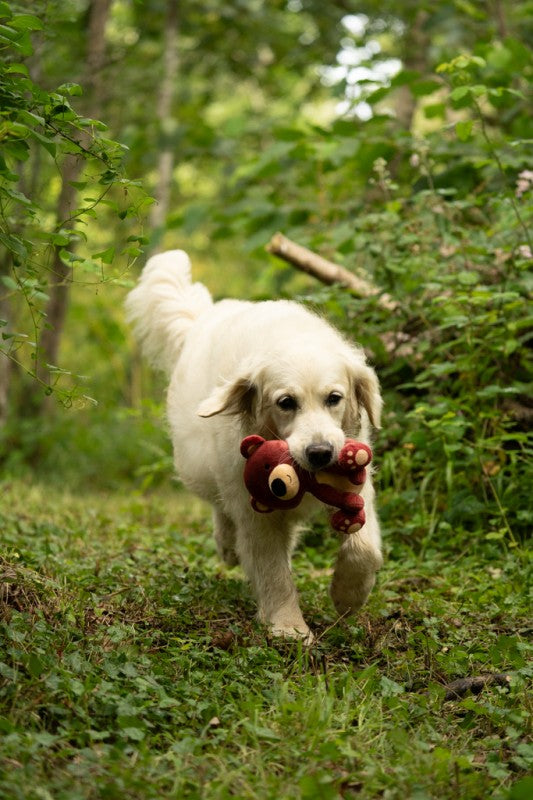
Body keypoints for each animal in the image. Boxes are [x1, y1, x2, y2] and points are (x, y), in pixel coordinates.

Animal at [124, 248, 382, 636]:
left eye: (334, 398)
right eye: (286, 402)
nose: (320, 454)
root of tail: (203, 318)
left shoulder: (357, 486)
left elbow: (365, 548)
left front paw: (348, 594)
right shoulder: (255, 508)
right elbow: (272, 570)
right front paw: (288, 626)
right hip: (199, 464)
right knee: (220, 505)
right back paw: (227, 544)